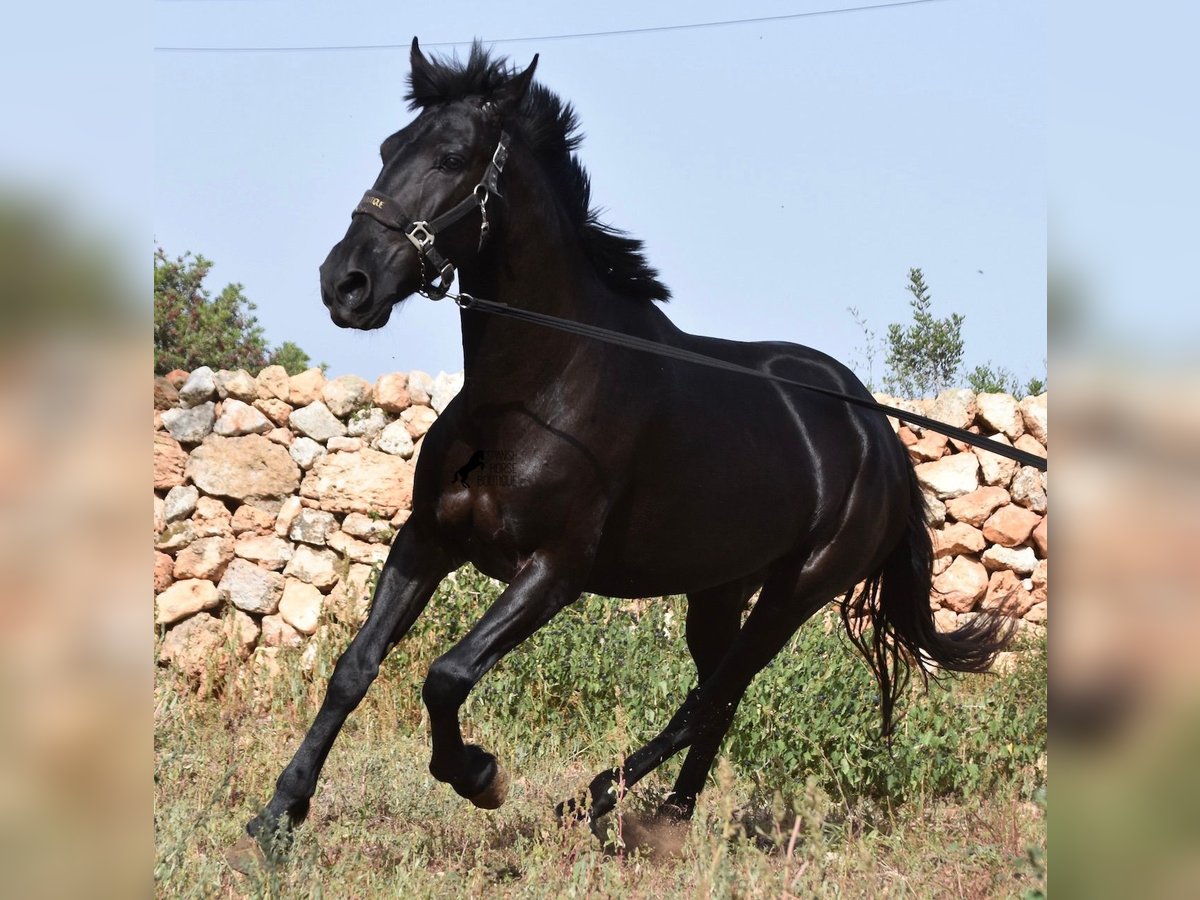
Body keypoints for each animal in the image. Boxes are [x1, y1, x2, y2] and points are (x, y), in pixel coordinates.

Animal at [243, 40, 1012, 859]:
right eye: (389, 148)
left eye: (451, 157)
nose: (345, 284)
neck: (538, 387)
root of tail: (881, 438)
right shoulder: (427, 539)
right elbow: (354, 669)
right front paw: (277, 817)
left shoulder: (554, 571)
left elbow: (446, 676)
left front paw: (482, 777)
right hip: (720, 587)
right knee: (717, 698)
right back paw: (664, 816)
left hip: (796, 591)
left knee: (710, 698)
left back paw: (597, 806)